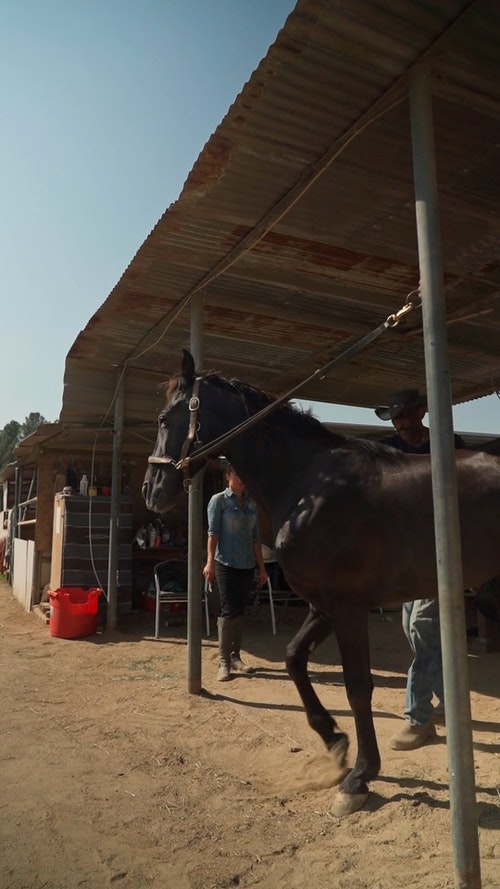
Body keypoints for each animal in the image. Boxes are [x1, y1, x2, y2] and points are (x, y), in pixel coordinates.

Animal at [142, 350, 500, 816]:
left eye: (164, 418)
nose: (151, 490)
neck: (307, 484)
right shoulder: (322, 606)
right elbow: (294, 659)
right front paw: (333, 738)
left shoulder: (348, 607)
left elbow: (358, 687)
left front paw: (360, 776)